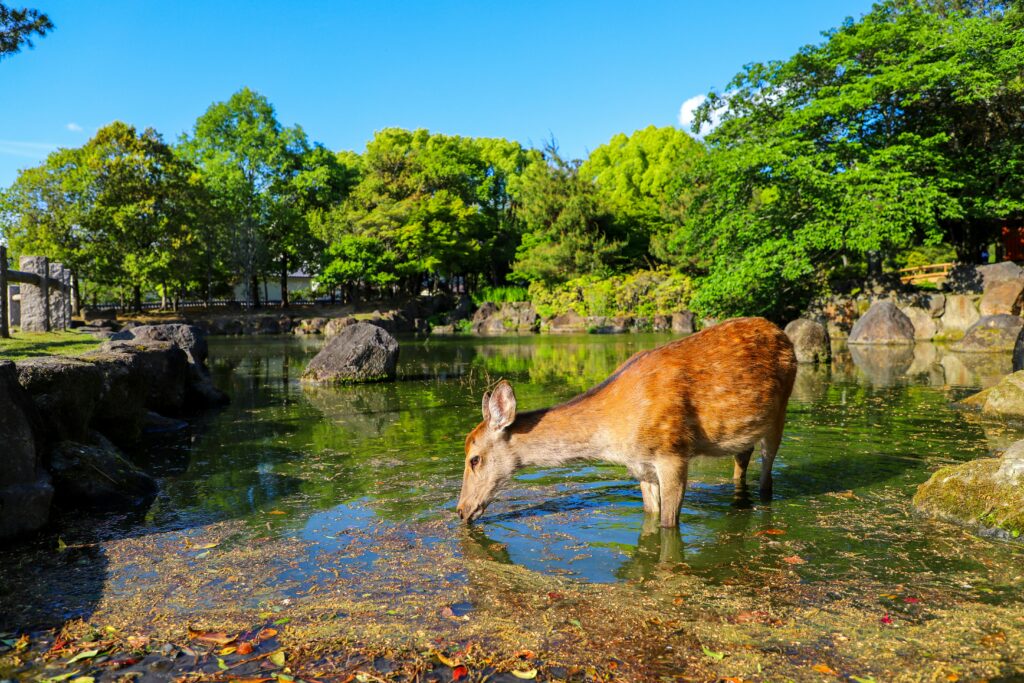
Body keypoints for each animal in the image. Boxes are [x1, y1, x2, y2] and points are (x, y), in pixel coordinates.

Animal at [456, 317, 798, 528]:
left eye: (474, 459)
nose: (460, 510)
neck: (612, 435)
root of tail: (783, 334)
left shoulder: (673, 453)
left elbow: (668, 525)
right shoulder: (641, 467)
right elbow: (651, 517)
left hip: (780, 411)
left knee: (767, 471)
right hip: (740, 434)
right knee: (742, 460)